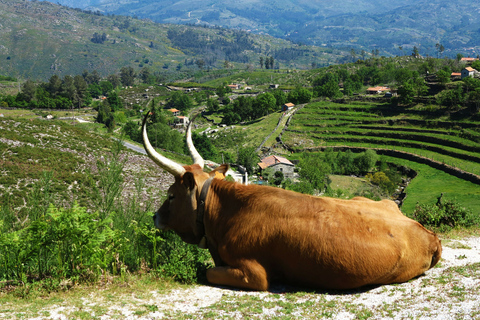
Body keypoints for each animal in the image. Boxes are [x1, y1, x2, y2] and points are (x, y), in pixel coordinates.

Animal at [142, 114, 442, 292]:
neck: (227, 213)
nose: (154, 217)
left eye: (171, 194)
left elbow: (208, 272)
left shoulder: (254, 274)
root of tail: (430, 234)